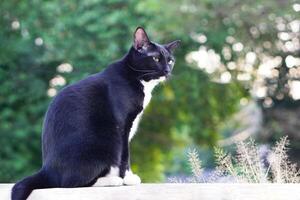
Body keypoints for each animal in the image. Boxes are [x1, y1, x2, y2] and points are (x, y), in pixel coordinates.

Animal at [11, 27, 179, 200]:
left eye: (170, 61)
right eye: (156, 58)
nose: (167, 70)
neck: (137, 78)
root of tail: (47, 170)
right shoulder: (123, 127)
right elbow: (125, 156)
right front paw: (128, 178)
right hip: (105, 144)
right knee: (70, 182)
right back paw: (112, 180)